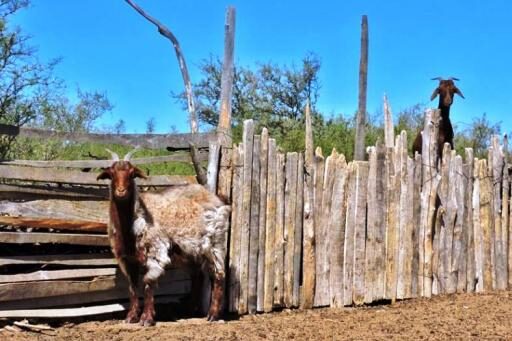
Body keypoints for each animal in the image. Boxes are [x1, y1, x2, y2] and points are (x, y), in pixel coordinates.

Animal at [98, 148, 230, 324]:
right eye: (111, 174)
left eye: (132, 173)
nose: (121, 191)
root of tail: (216, 199)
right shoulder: (127, 259)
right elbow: (132, 287)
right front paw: (131, 317)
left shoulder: (155, 251)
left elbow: (148, 282)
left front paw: (146, 318)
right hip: (190, 251)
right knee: (198, 276)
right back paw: (191, 310)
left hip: (215, 242)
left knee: (218, 275)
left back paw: (213, 315)